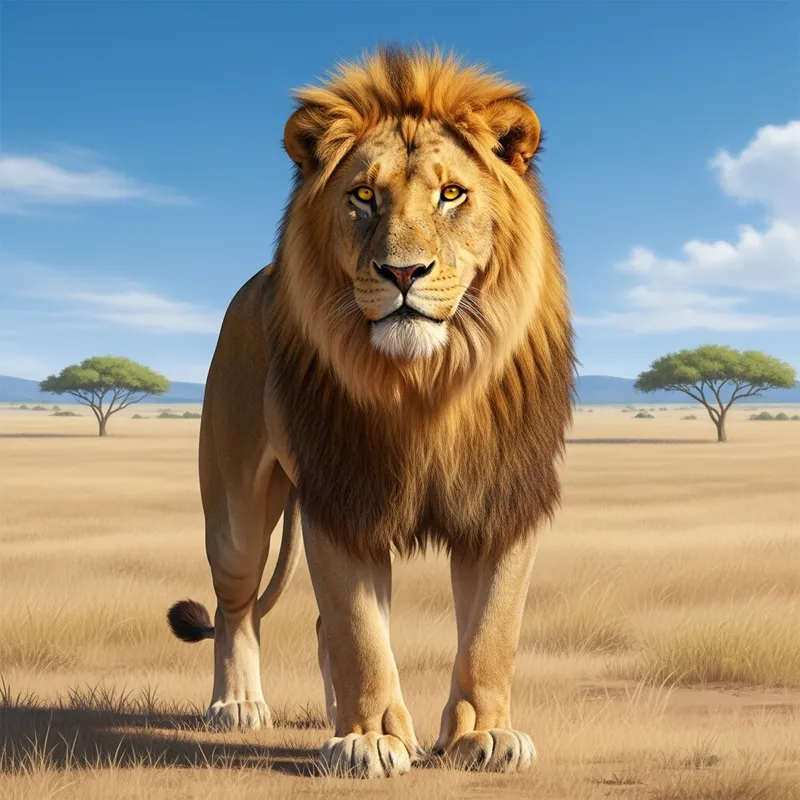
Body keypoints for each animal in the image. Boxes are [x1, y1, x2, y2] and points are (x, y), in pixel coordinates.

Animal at [167, 46, 574, 778]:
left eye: (451, 195)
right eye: (363, 197)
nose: (403, 273)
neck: (425, 386)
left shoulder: (503, 498)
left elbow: (492, 632)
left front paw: (483, 735)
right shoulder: (341, 496)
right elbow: (359, 630)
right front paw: (370, 741)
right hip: (236, 509)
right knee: (235, 604)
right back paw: (238, 704)